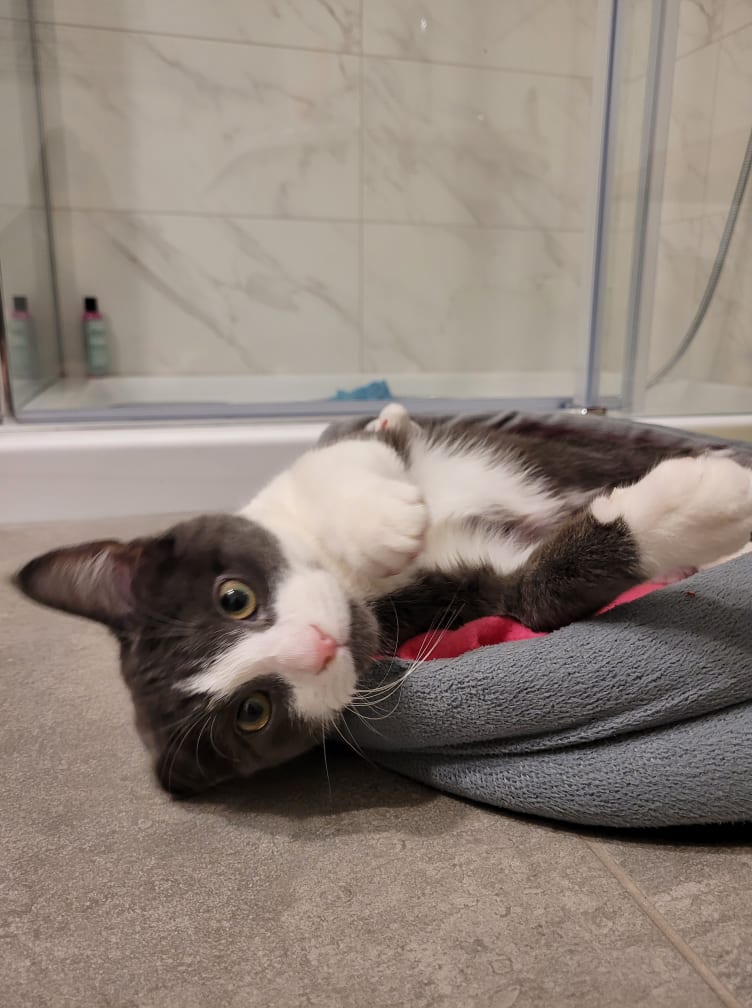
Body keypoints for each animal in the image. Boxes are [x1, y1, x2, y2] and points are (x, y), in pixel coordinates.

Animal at [14, 403, 752, 797]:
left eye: (234, 599)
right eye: (254, 712)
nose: (317, 644)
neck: (362, 587)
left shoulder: (347, 461)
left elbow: (347, 454)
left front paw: (383, 519)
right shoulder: (470, 594)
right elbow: (538, 594)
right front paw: (701, 506)